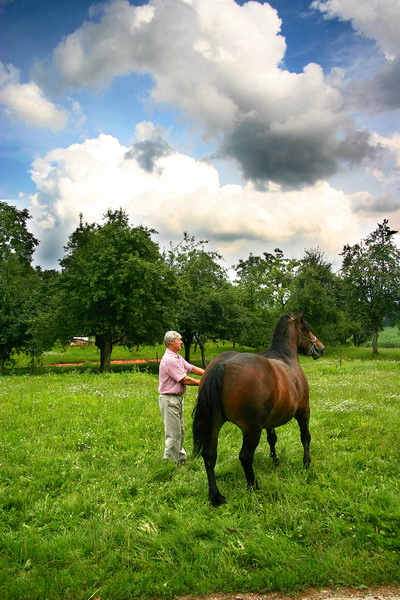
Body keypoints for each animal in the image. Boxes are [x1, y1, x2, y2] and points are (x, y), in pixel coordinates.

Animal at [191, 312, 324, 504]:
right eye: (307, 328)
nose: (321, 348)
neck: (286, 358)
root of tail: (223, 365)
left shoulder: (270, 421)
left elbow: (272, 439)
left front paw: (275, 460)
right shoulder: (303, 411)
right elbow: (305, 437)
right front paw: (306, 463)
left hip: (215, 423)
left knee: (209, 455)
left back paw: (216, 496)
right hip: (251, 429)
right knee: (245, 456)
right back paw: (253, 486)